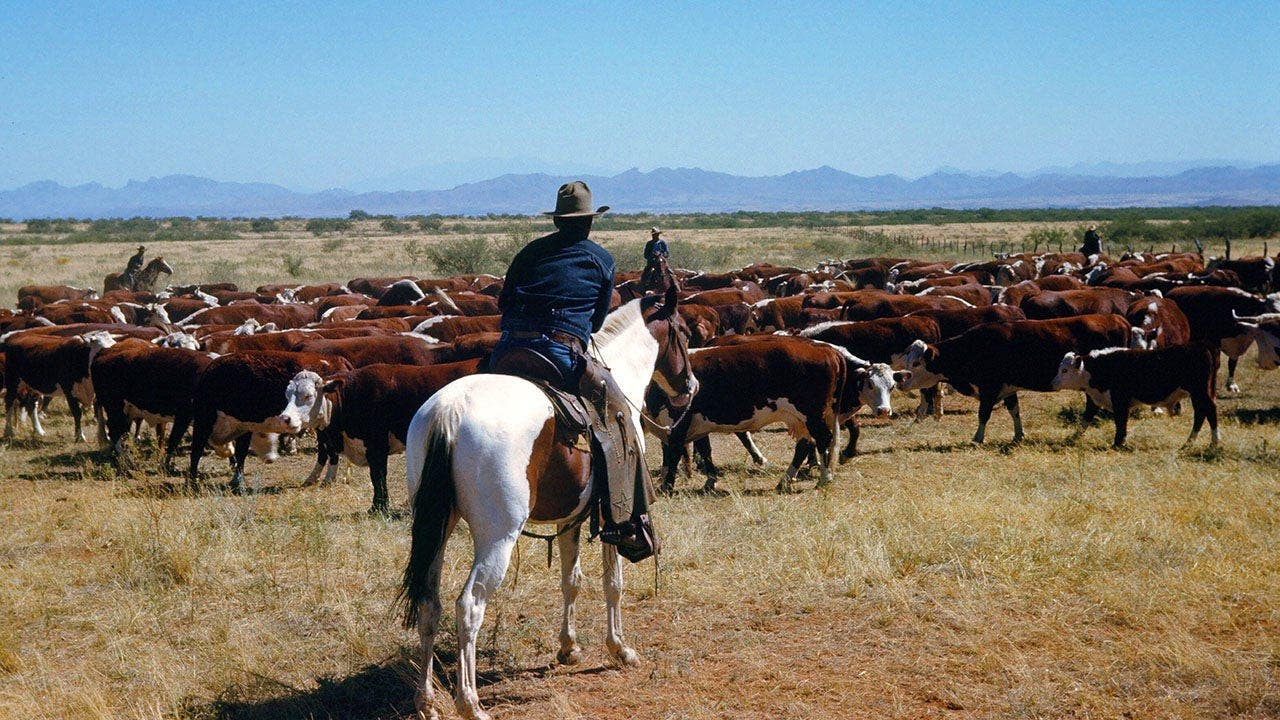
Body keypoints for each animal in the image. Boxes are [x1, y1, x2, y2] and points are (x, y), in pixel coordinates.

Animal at [900, 314, 1132, 443]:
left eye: (916, 363)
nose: (902, 382)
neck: (975, 346)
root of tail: (1116, 318)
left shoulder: (990, 388)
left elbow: (983, 415)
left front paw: (978, 438)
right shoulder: (1008, 389)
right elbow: (1015, 412)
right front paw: (1019, 435)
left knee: (1092, 408)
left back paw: (1078, 433)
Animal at [1052, 345, 1219, 448]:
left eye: (1065, 370)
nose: (1053, 383)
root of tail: (1201, 349)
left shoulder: (1120, 402)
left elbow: (1120, 423)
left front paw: (1117, 443)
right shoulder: (1094, 400)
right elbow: (1085, 420)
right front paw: (1071, 438)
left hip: (1200, 393)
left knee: (1209, 411)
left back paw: (1213, 443)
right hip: (1199, 395)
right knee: (1201, 414)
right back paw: (1189, 443)